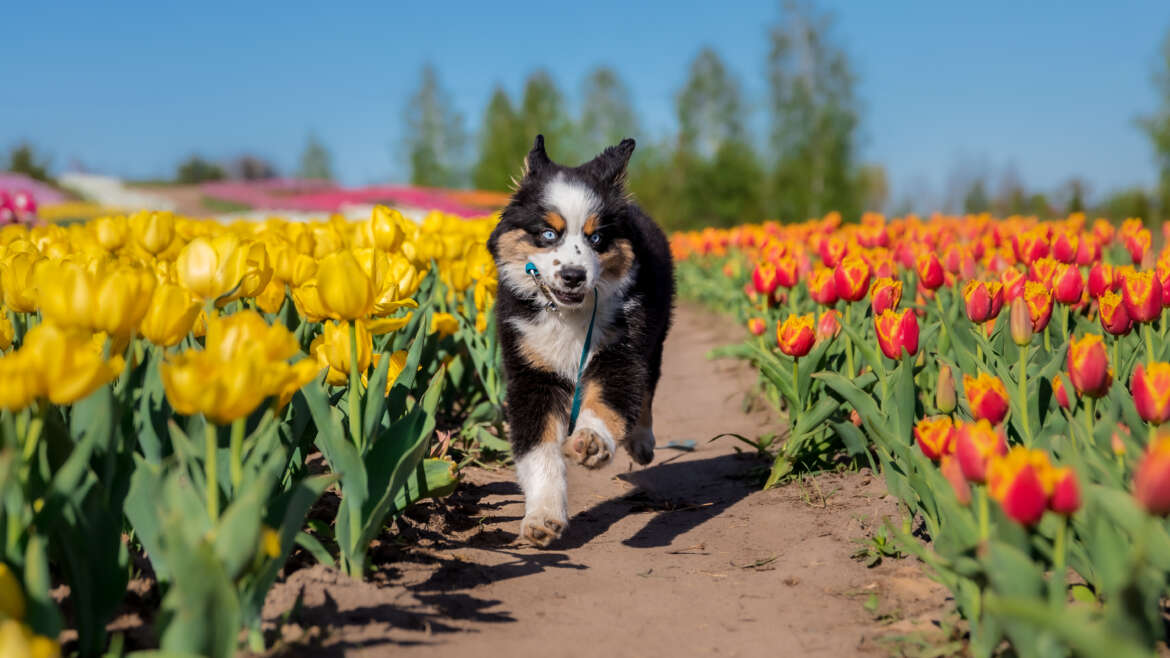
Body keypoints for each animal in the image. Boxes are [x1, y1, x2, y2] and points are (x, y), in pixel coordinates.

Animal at [486, 134, 678, 547]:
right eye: (548, 234)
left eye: (597, 237)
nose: (573, 276)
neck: (567, 315)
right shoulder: (531, 373)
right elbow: (538, 451)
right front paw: (542, 517)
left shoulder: (620, 351)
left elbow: (609, 401)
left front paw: (592, 442)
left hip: (655, 334)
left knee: (647, 389)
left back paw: (641, 442)